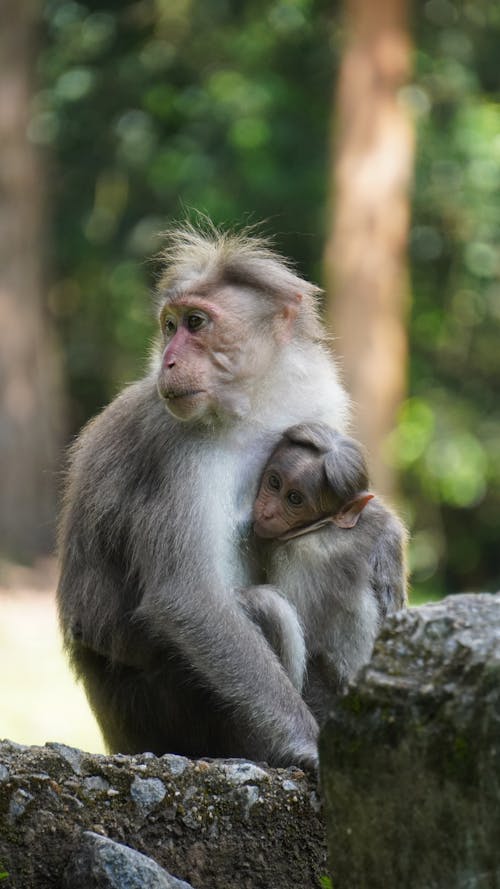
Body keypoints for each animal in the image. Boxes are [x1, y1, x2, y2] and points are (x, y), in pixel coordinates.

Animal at [56, 224, 352, 772]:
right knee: (264, 608)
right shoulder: (175, 448)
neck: (254, 405)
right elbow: (187, 598)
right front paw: (309, 744)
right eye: (169, 325)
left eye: (196, 323)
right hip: (164, 713)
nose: (168, 360)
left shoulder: (318, 402)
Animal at [242, 424, 406, 720]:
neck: (325, 525)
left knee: (266, 604)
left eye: (294, 499)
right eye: (274, 482)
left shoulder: (294, 552)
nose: (268, 512)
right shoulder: (386, 526)